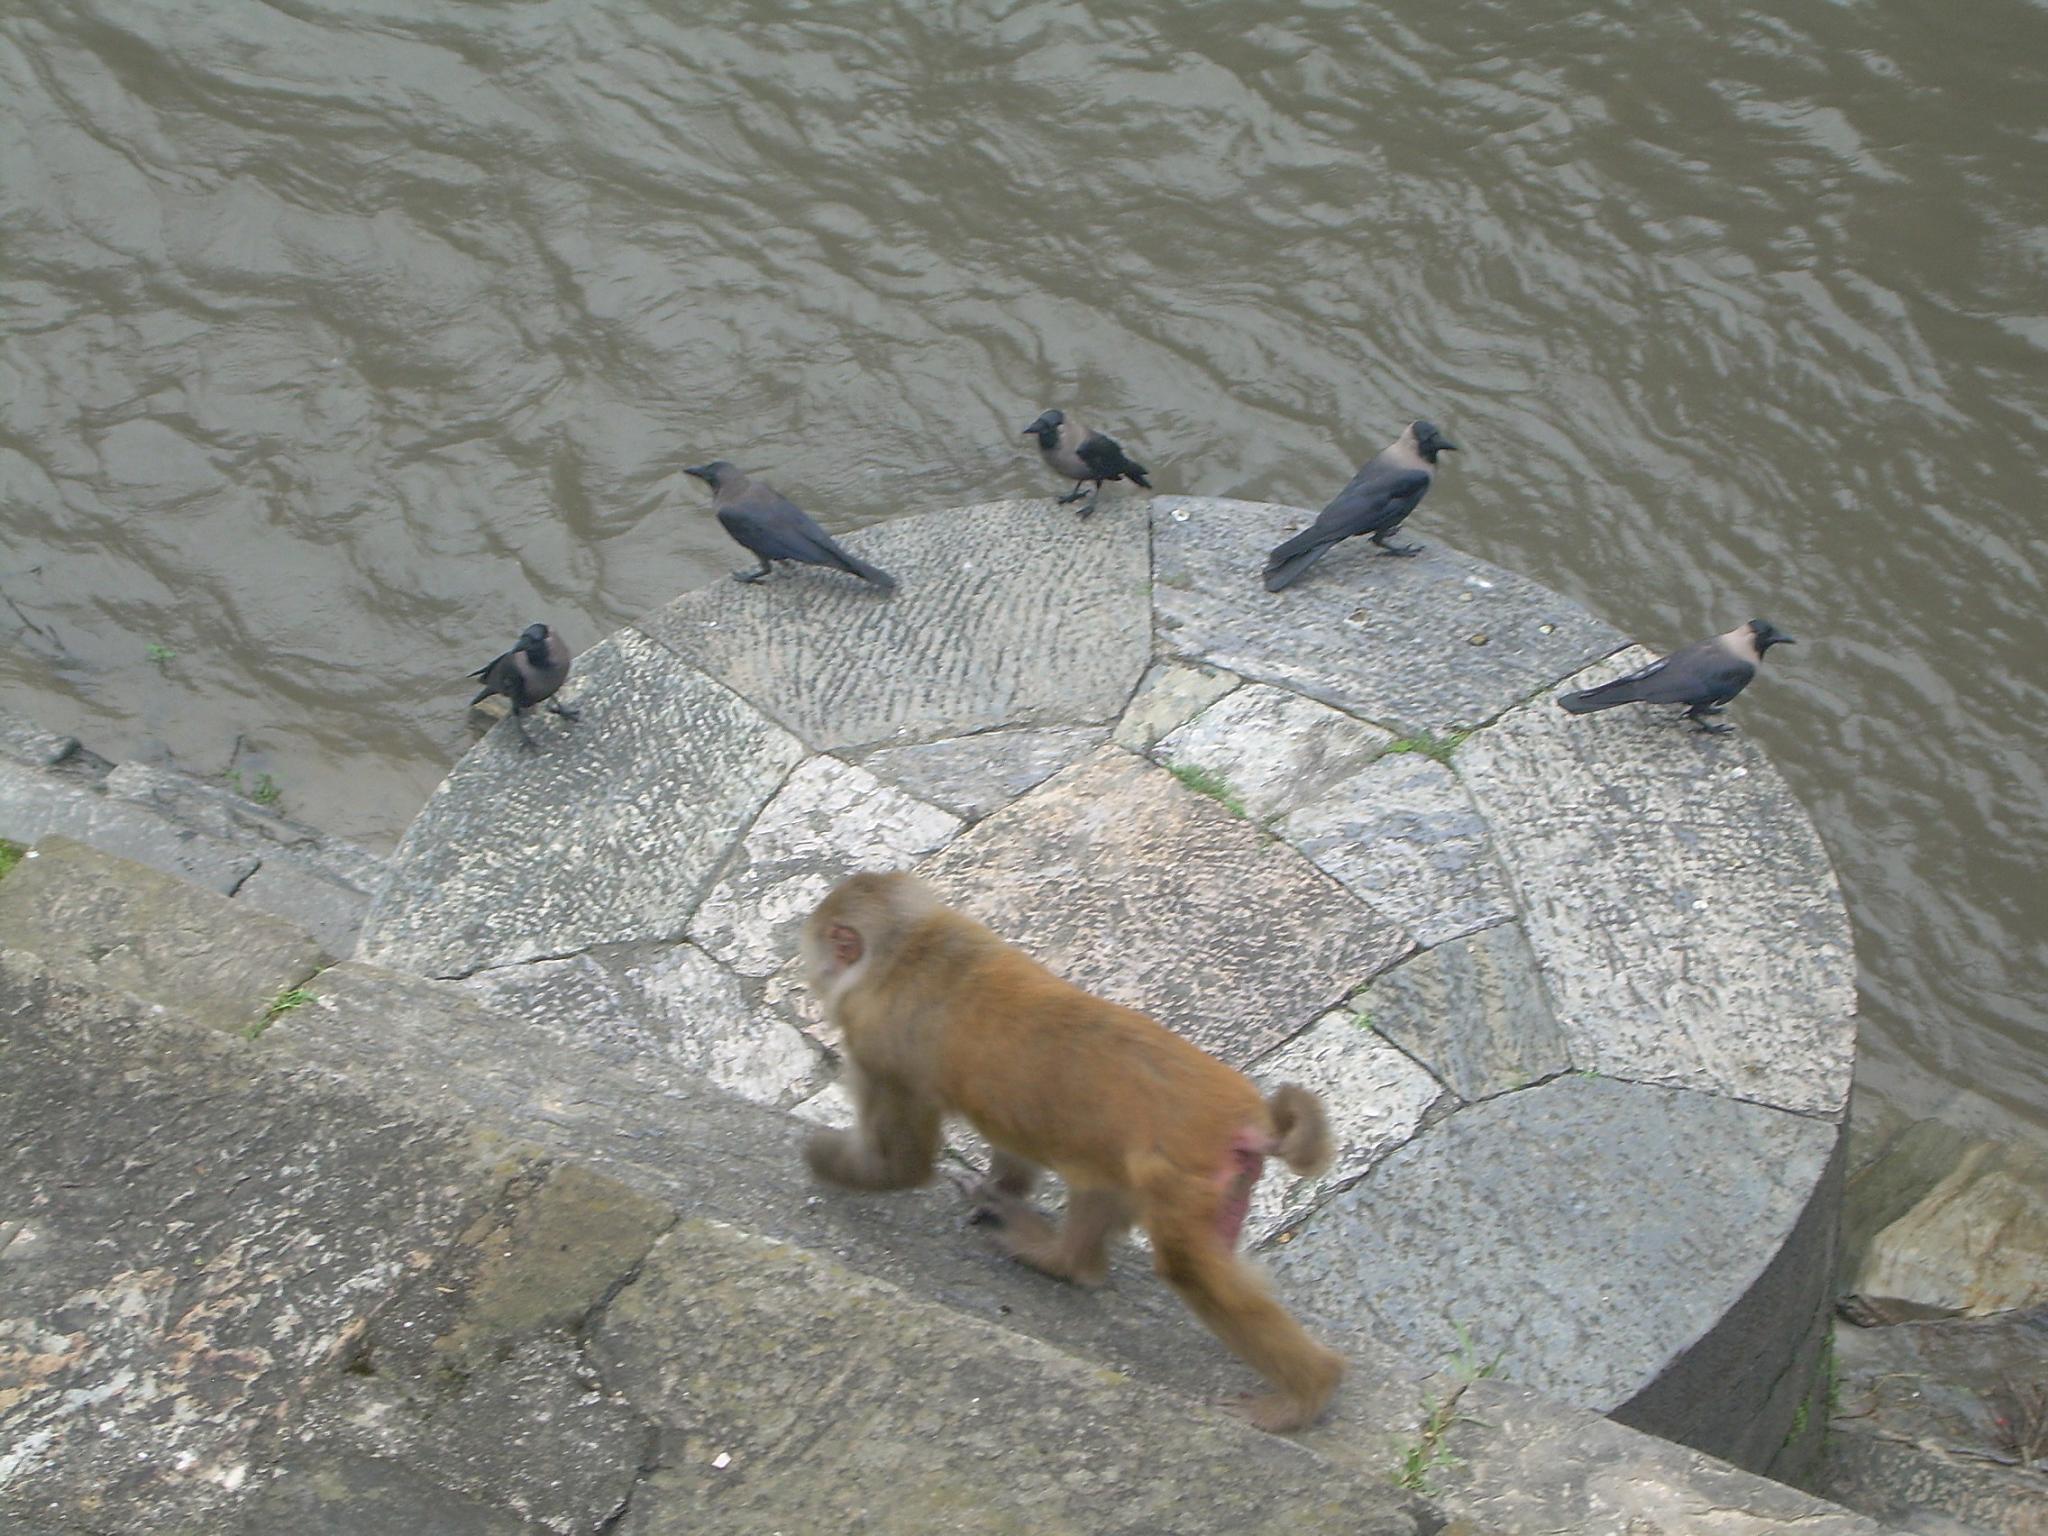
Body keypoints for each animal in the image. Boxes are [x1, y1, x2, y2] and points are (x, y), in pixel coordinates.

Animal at [794, 872, 1343, 1441]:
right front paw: (999, 1188)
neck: (916, 948)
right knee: (1108, 1187)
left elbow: (902, 1163)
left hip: (1184, 1177)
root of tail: (1250, 1121)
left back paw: (1305, 1393)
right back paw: (1065, 1261)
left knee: (1186, 1265)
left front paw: (824, 1158)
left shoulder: (875, 1039)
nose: (815, 977)